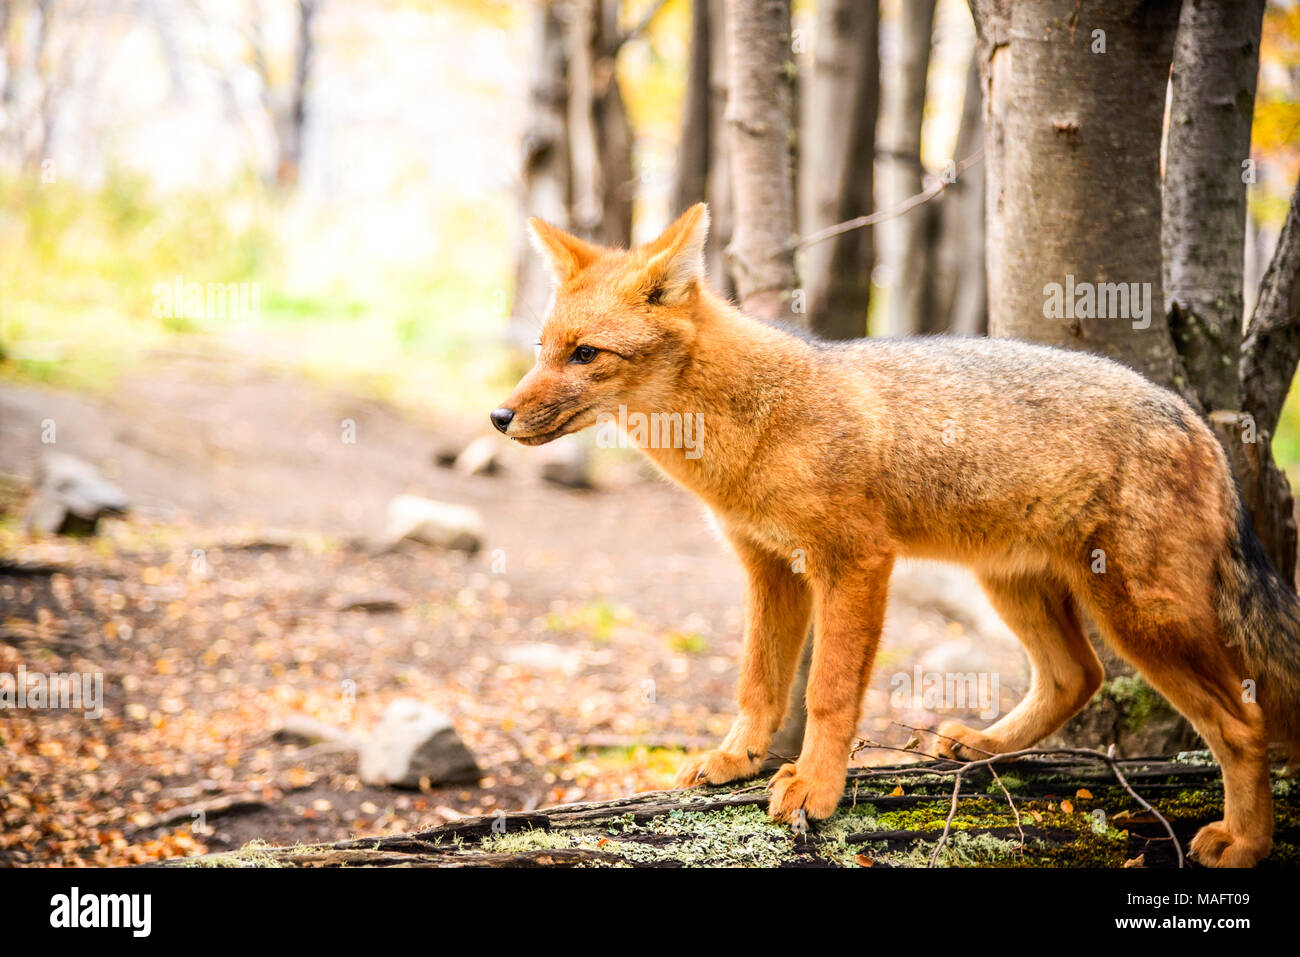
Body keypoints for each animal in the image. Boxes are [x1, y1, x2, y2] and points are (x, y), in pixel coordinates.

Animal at [491, 202, 1300, 867]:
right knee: (1078, 676)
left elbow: (826, 692)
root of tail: (1193, 415)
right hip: (1017, 588)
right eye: (541, 349)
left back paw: (1246, 842)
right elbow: (759, 683)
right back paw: (982, 746)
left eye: (586, 354)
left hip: (1140, 617)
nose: (498, 416)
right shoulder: (770, 567)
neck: (747, 427)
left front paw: (815, 786)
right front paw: (737, 758)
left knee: (1246, 723)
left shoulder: (854, 563)